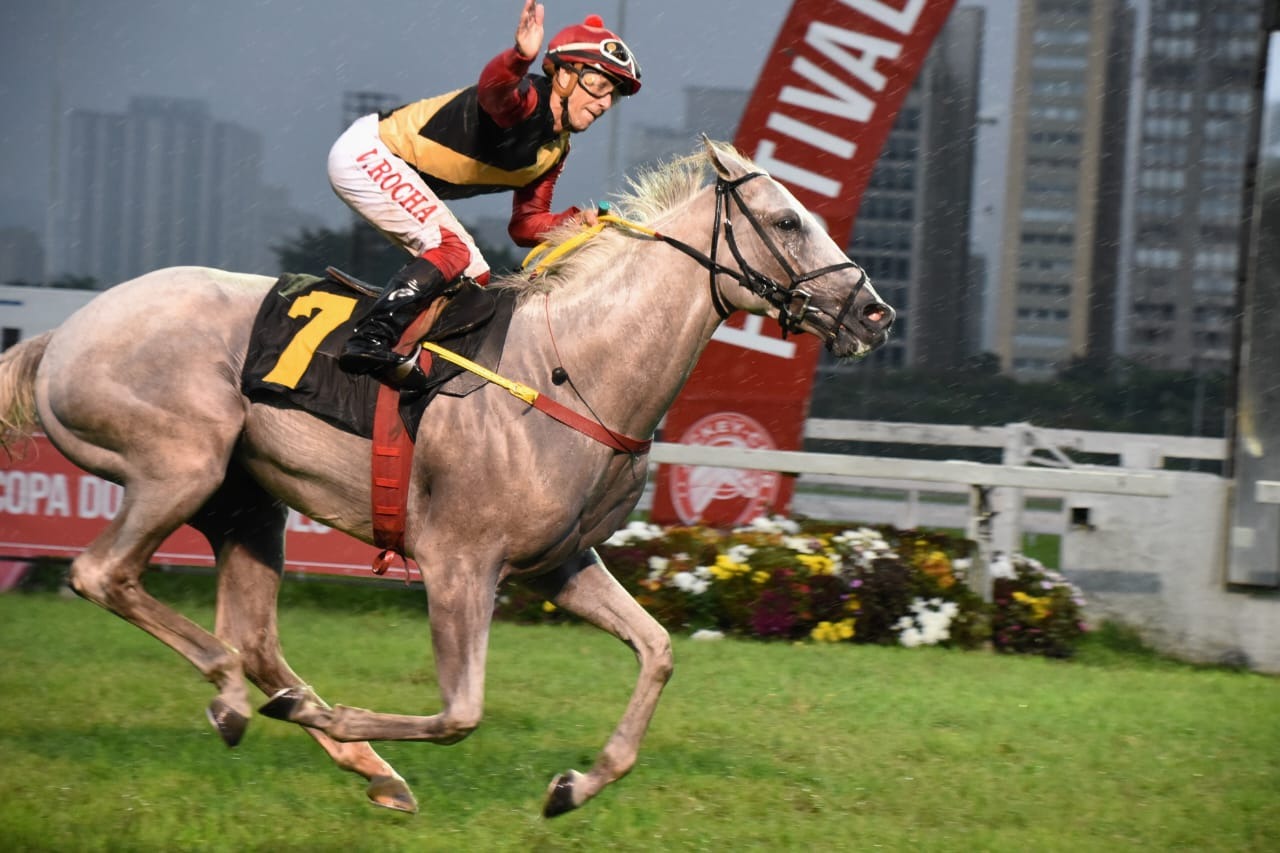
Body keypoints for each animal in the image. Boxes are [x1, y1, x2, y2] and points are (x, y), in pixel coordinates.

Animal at [0, 139, 896, 819]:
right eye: (787, 219)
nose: (875, 313)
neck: (575, 371)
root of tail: (60, 335)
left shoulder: (560, 562)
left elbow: (659, 650)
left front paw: (575, 785)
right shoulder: (458, 562)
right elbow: (463, 710)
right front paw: (339, 713)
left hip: (245, 501)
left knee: (253, 636)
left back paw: (362, 761)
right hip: (180, 465)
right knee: (106, 575)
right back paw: (233, 698)